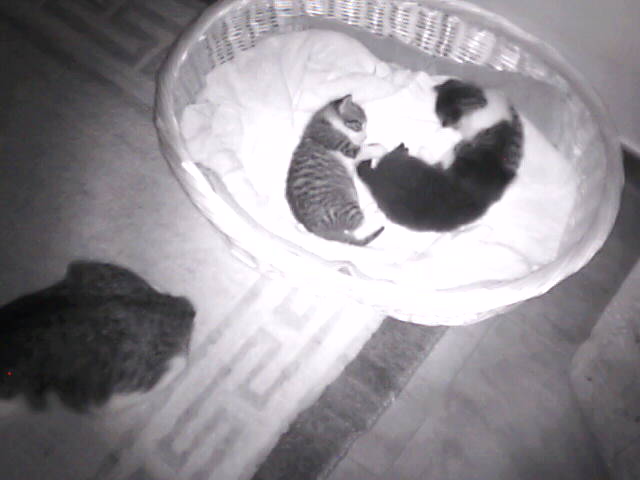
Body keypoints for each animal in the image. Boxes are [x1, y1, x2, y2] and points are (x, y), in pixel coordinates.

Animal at [285, 94, 384, 246]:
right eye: (359, 125)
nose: (365, 137)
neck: (326, 122)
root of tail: (315, 229)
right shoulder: (340, 144)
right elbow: (362, 150)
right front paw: (381, 149)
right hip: (346, 205)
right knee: (358, 227)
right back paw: (375, 214)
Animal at [357, 79, 523, 232]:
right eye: (441, 115)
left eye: (448, 116)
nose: (443, 125)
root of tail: (376, 179)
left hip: (399, 162)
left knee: (387, 155)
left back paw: (396, 149)